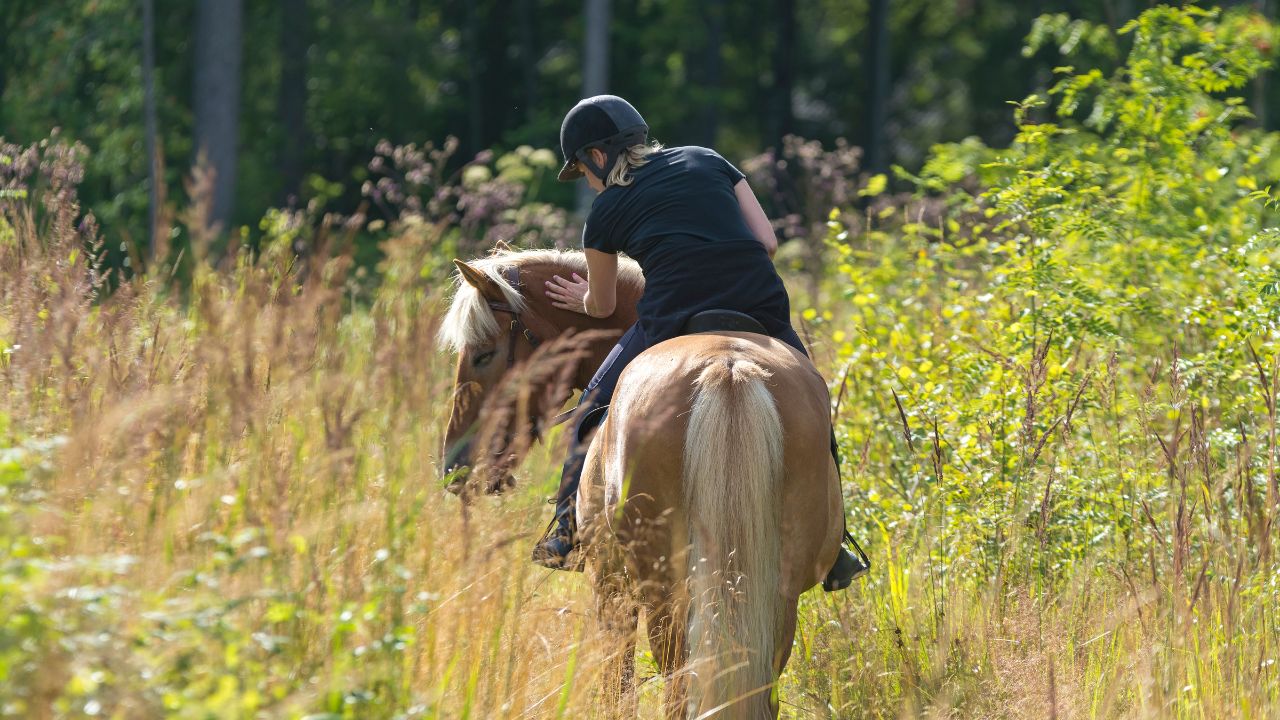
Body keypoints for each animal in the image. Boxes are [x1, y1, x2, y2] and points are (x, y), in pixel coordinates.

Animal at [435, 244, 844, 712]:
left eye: (483, 354)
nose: (455, 467)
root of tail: (728, 367)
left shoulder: (609, 583)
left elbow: (618, 684)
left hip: (664, 592)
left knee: (677, 686)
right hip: (774, 596)